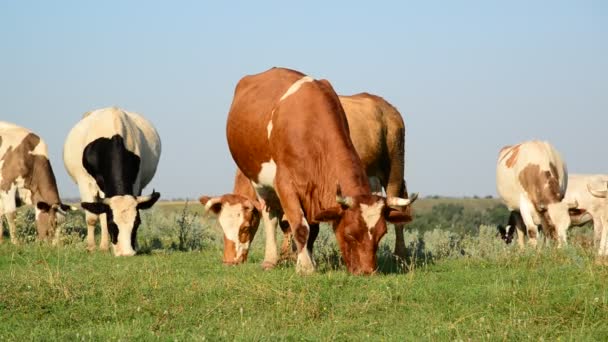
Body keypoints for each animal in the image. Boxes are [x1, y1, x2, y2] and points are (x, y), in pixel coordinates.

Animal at [63, 107, 162, 256]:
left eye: (137, 223)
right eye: (112, 224)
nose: (126, 253)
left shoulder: (136, 182)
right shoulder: (85, 183)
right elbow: (93, 218)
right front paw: (92, 247)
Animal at [226, 67, 416, 276]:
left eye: (382, 234)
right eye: (350, 234)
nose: (367, 272)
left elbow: (311, 229)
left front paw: (305, 261)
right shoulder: (285, 184)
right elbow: (299, 226)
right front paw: (305, 266)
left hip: (395, 168)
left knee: (399, 208)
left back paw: (401, 256)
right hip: (260, 182)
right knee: (271, 218)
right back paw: (270, 260)